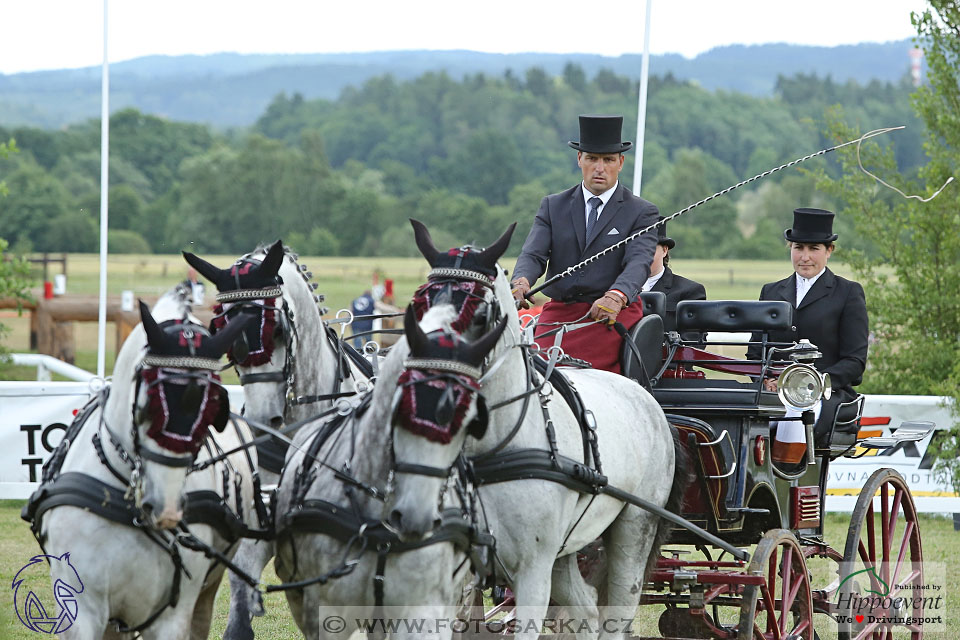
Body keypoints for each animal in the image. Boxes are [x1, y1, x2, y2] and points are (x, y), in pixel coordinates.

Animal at [390, 222, 684, 636]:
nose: (425, 380)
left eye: (480, 310)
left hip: (634, 527)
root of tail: (650, 402)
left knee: (617, 611)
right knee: (586, 609)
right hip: (568, 550)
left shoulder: (532, 570)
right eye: (420, 302)